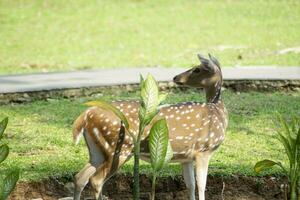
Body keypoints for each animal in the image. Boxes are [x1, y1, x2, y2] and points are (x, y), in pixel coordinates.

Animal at [72, 53, 227, 200]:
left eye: (197, 69)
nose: (176, 77)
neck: (218, 112)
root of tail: (86, 114)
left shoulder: (187, 157)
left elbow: (191, 185)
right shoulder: (203, 149)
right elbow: (201, 186)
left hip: (98, 150)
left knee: (80, 177)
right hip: (118, 147)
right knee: (96, 179)